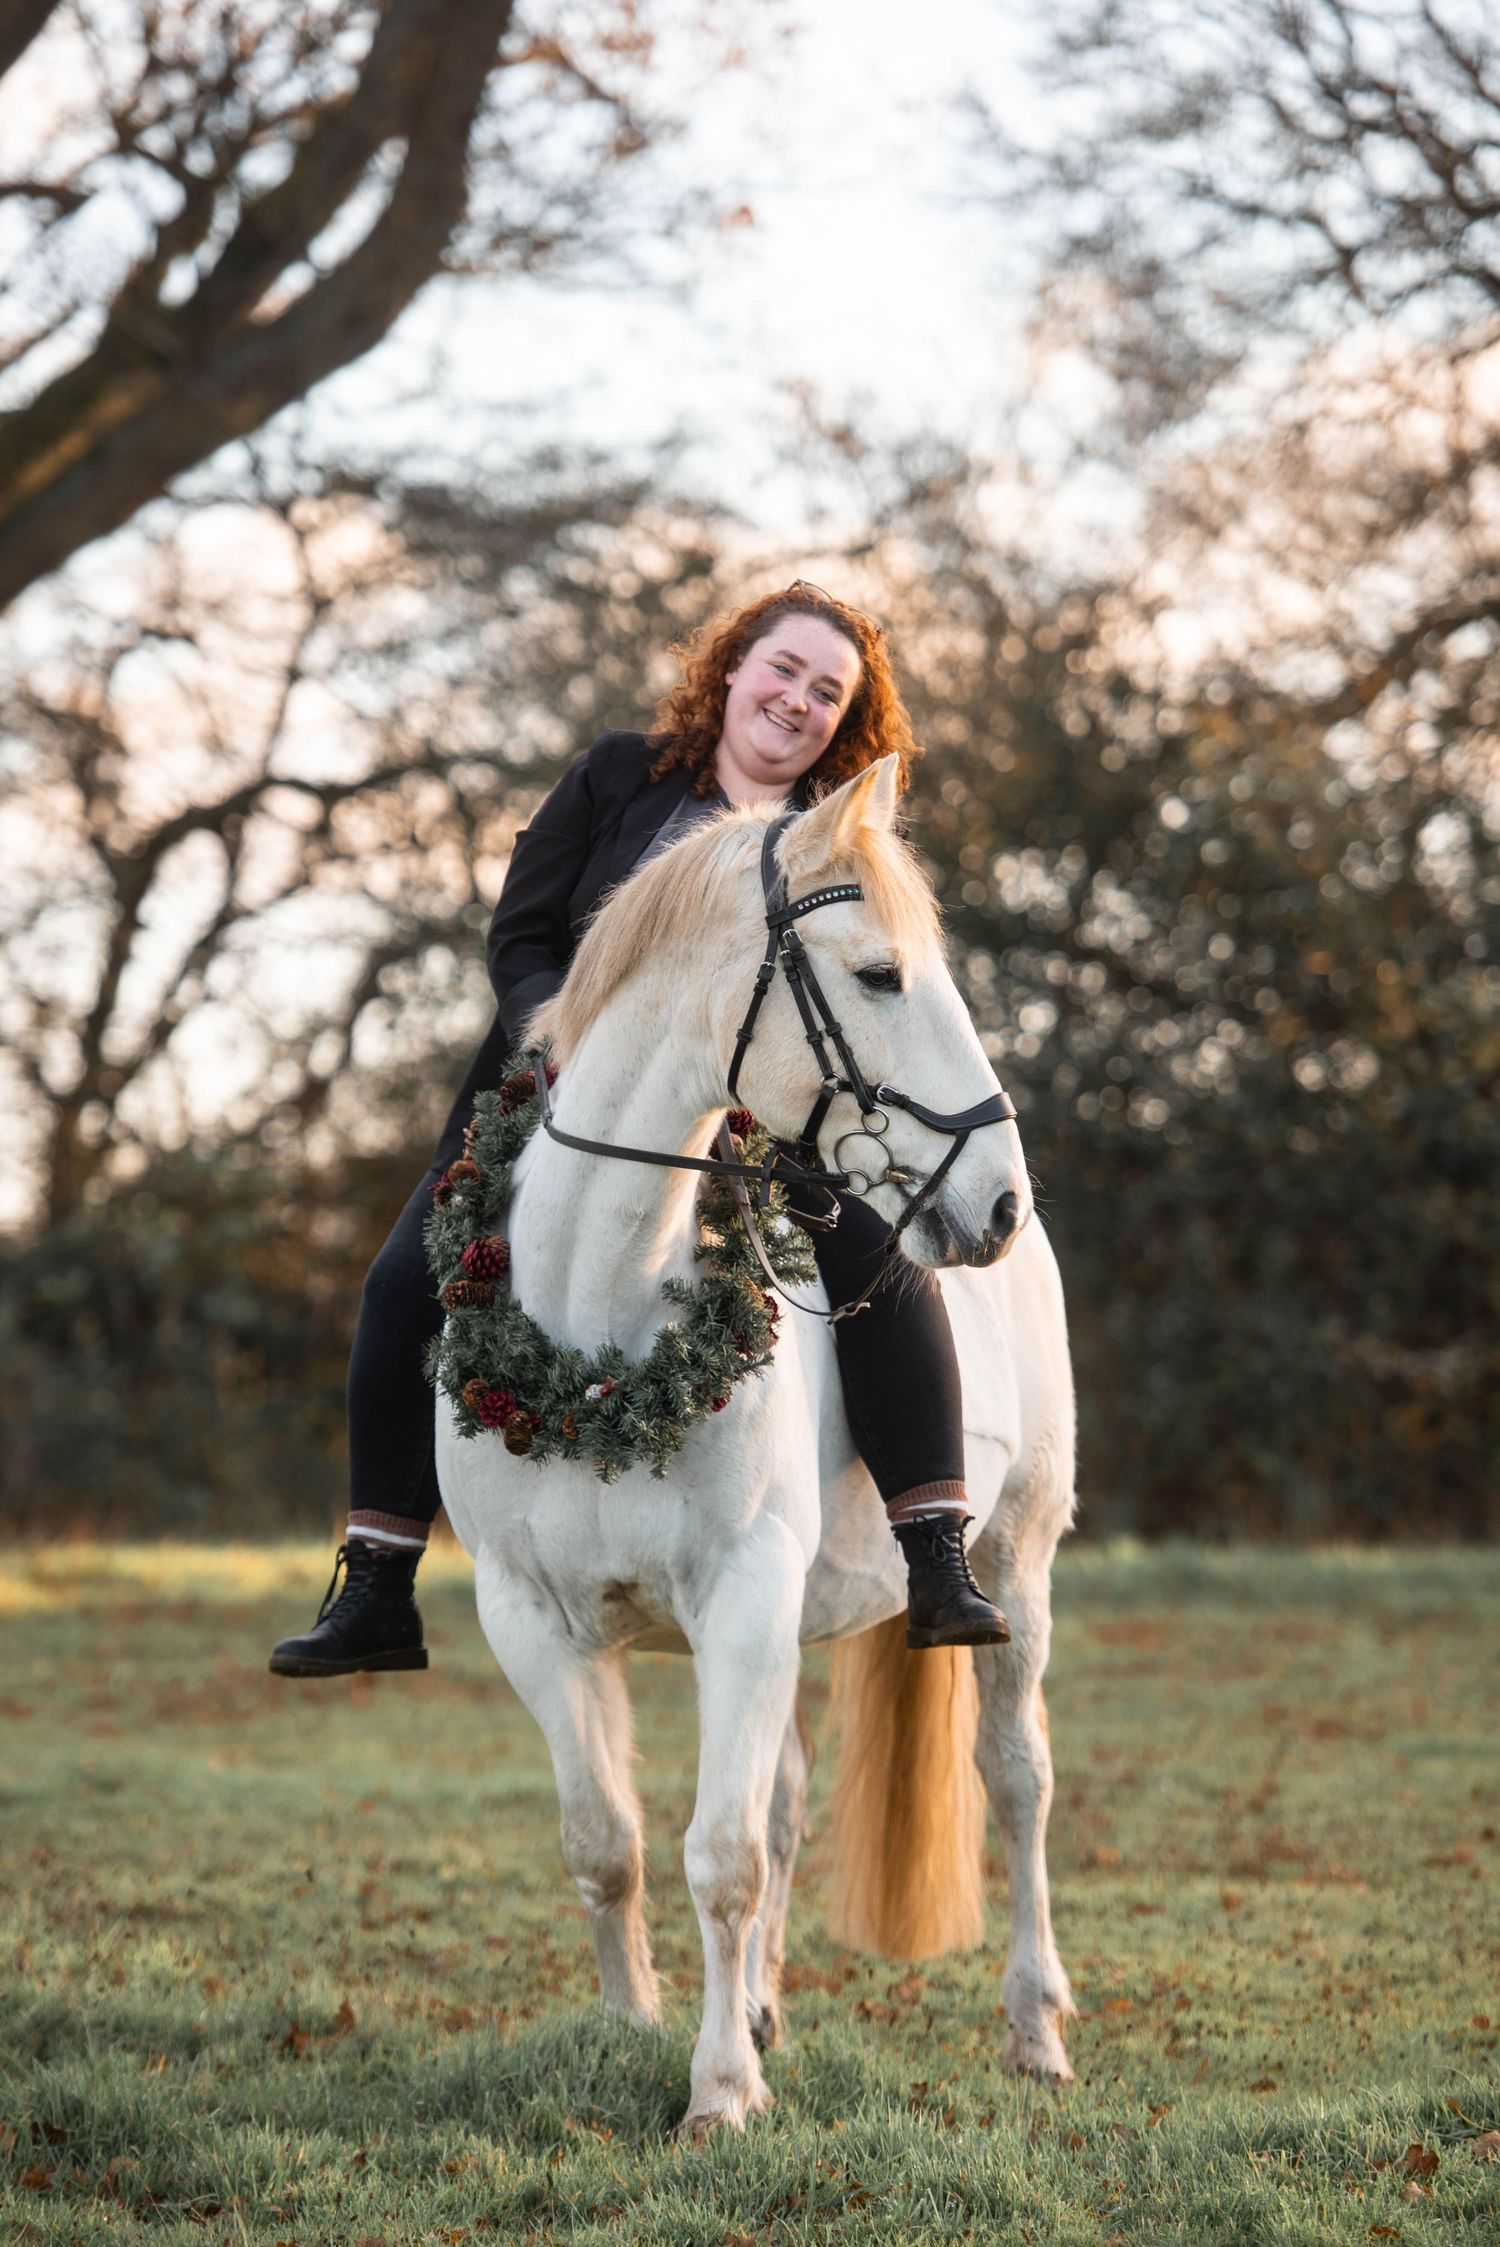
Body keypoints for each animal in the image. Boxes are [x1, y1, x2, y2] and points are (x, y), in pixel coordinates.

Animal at [437, 755, 1077, 2136]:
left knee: (1017, 1781)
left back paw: (1035, 2031)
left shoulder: (741, 1593)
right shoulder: (534, 1619)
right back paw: (773, 2006)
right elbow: (607, 1843)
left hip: (1017, 1563)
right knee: (783, 1806)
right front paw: (636, 2030)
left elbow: (718, 1856)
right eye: (881, 975)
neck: (604, 1324)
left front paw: (720, 2094)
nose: (999, 1201)